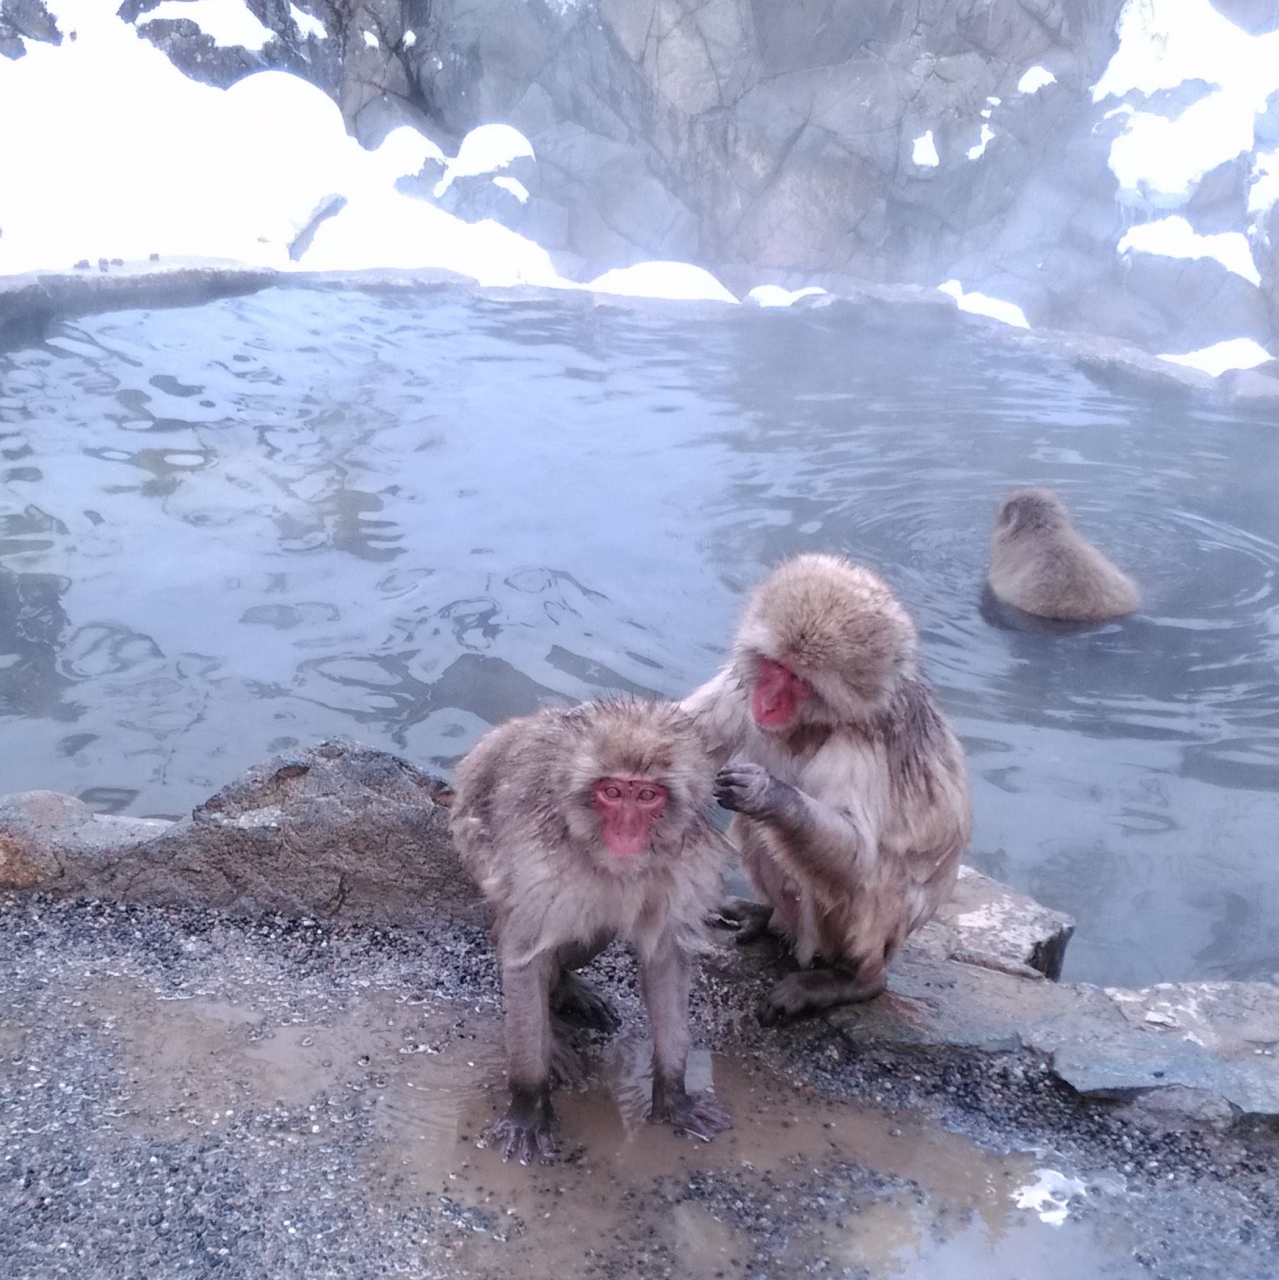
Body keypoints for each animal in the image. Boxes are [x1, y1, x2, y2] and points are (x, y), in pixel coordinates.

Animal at [448, 696, 732, 1167]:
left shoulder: (680, 867)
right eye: (612, 792)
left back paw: (570, 989)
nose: (627, 831)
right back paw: (554, 1043)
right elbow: (525, 956)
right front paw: (528, 1107)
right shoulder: (539, 864)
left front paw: (674, 1095)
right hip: (472, 842)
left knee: (593, 932)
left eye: (647, 795)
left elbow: (665, 958)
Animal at [681, 550, 967, 1018]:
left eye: (797, 680)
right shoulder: (743, 686)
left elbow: (857, 856)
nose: (767, 703)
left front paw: (769, 795)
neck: (811, 725)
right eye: (774, 667)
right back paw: (766, 917)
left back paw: (851, 979)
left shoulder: (858, 748)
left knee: (856, 881)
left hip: (877, 932)